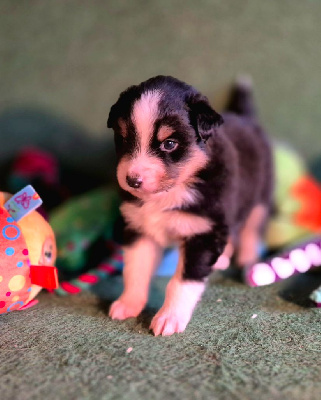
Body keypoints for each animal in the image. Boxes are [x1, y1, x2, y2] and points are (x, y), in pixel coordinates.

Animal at [106, 75, 272, 334]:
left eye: (169, 143)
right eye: (123, 139)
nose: (132, 181)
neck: (171, 191)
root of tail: (245, 118)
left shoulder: (202, 232)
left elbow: (182, 281)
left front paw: (169, 318)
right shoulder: (138, 228)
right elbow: (135, 270)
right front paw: (128, 304)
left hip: (260, 198)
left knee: (250, 228)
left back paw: (246, 258)